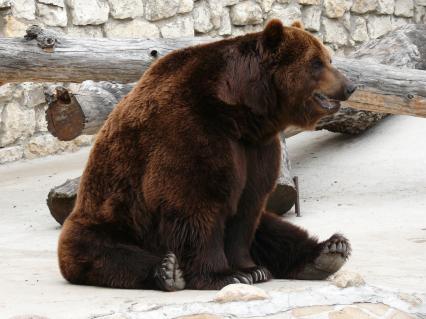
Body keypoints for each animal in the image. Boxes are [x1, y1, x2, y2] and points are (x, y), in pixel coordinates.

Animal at [57, 18, 356, 292]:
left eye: (329, 58)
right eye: (316, 62)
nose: (350, 85)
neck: (241, 112)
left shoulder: (256, 149)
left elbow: (247, 209)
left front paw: (251, 269)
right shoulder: (192, 130)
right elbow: (196, 203)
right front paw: (226, 275)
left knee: (273, 229)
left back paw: (329, 251)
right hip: (110, 220)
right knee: (102, 251)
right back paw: (166, 270)